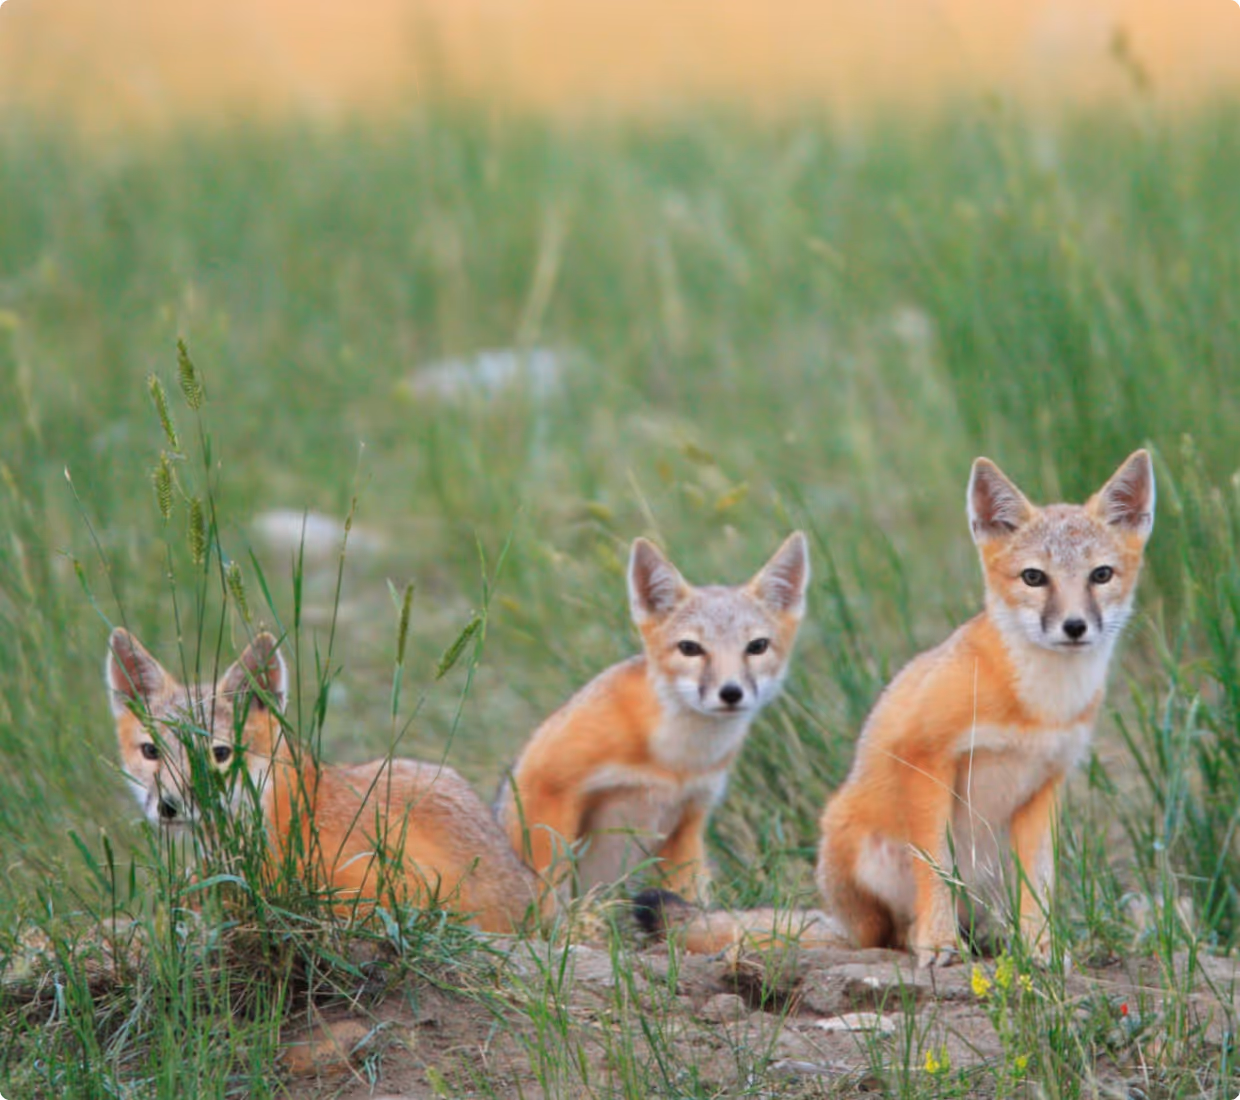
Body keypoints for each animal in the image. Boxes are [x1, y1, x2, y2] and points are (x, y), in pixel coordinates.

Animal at [496, 532, 809, 903]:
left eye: (757, 646)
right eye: (690, 648)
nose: (731, 692)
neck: (675, 760)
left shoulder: (688, 820)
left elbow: (691, 897)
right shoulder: (546, 785)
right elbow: (547, 892)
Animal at [816, 449, 1155, 967]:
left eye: (1101, 575)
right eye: (1034, 577)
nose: (1075, 626)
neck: (1041, 705)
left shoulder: (1044, 783)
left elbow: (1039, 881)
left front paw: (1040, 948)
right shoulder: (927, 759)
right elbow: (934, 866)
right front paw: (937, 942)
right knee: (890, 932)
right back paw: (921, 935)